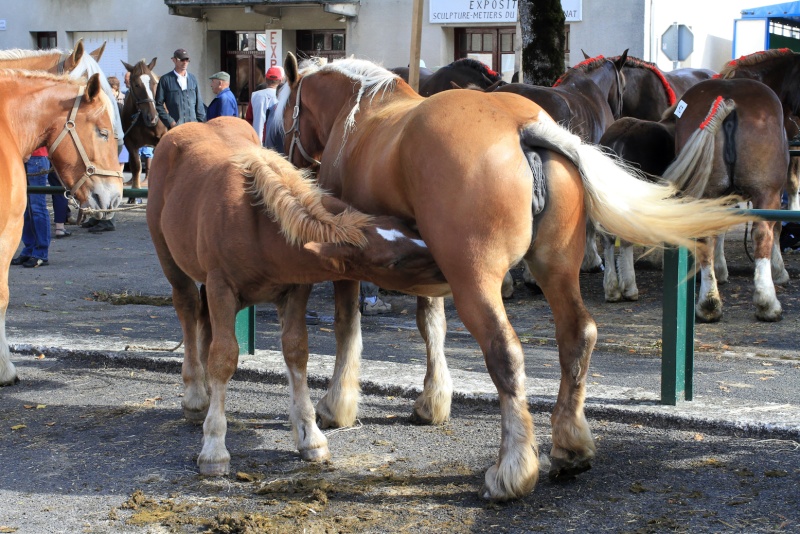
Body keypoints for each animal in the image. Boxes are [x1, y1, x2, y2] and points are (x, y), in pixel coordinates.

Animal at [148, 117, 446, 478]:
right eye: (393, 262)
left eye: (410, 229)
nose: (448, 268)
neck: (257, 224)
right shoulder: (221, 287)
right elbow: (224, 357)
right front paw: (214, 449)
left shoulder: (294, 289)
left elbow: (296, 351)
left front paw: (310, 436)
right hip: (169, 259)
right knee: (188, 307)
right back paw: (195, 396)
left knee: (202, 320)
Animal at [274, 54, 752, 502]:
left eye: (287, 111)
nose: (291, 160)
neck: (362, 113)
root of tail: (524, 128)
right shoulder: (426, 268)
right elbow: (432, 327)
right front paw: (433, 401)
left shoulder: (352, 266)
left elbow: (348, 327)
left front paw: (337, 405)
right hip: (555, 269)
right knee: (578, 335)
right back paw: (570, 446)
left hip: (476, 281)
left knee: (506, 354)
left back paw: (511, 470)